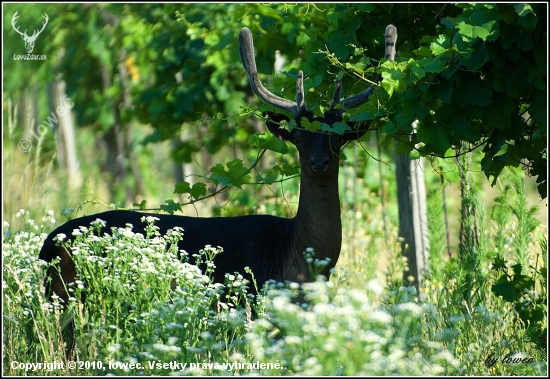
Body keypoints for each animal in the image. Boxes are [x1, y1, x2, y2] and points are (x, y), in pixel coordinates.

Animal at [40, 24, 402, 306]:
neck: (298, 262)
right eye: (298, 138)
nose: (319, 161)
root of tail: (45, 248)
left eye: (337, 138)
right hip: (68, 296)